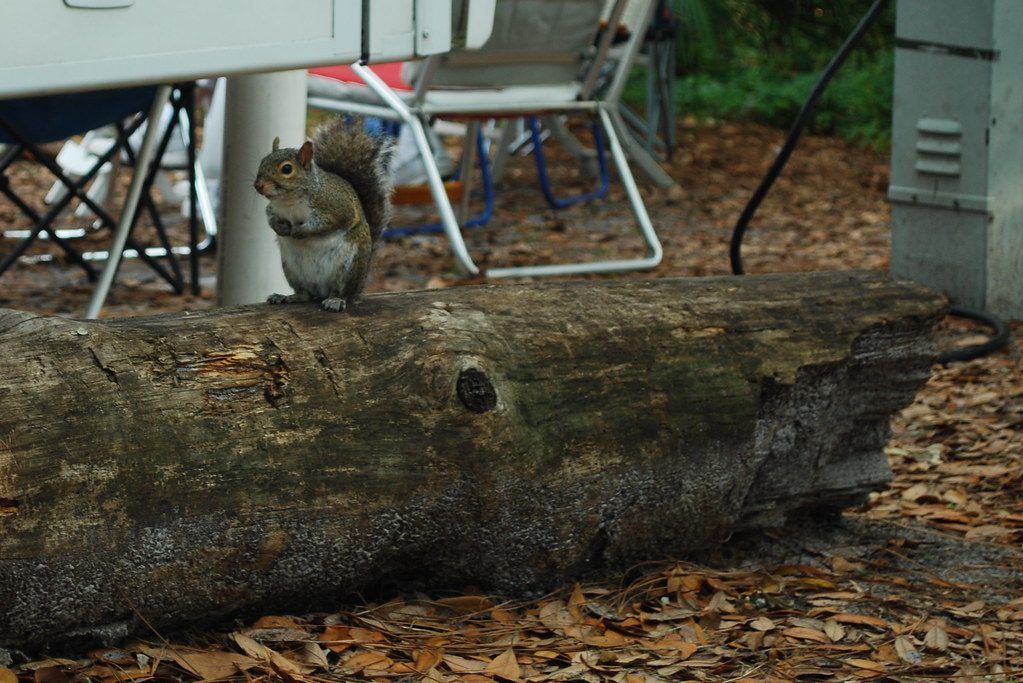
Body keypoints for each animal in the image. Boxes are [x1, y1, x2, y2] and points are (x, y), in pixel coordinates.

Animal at [253, 118, 394, 312]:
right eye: (262, 161)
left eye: (287, 169)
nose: (258, 185)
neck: (289, 201)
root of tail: (322, 292)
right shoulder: (272, 209)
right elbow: (271, 219)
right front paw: (281, 229)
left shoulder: (336, 208)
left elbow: (327, 224)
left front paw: (300, 231)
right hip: (291, 269)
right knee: (305, 294)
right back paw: (286, 297)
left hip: (350, 266)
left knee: (344, 293)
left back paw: (336, 300)